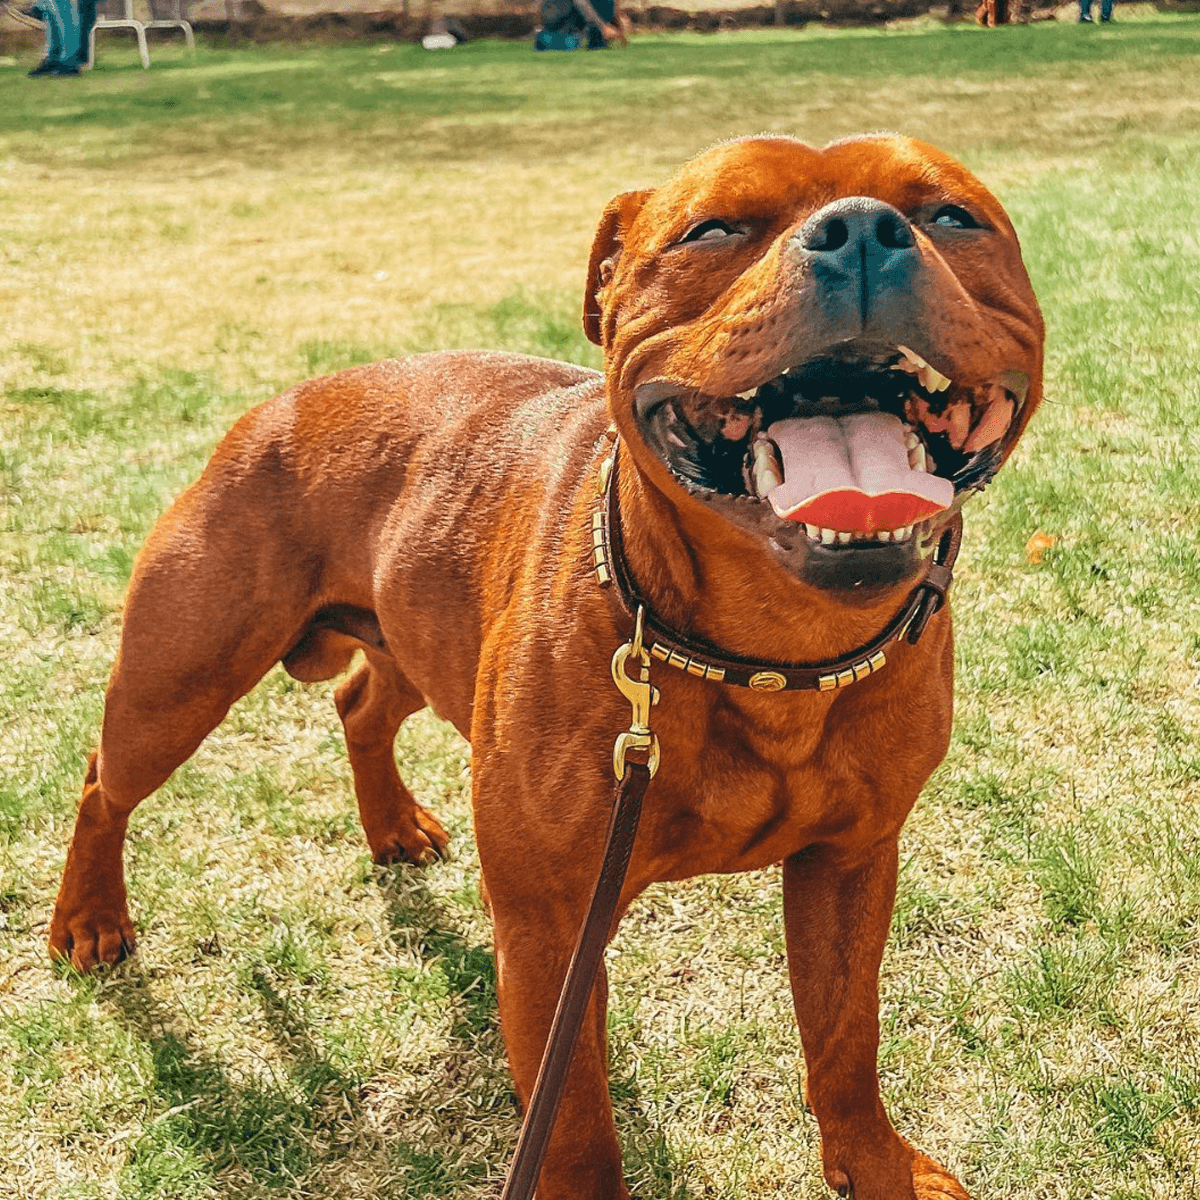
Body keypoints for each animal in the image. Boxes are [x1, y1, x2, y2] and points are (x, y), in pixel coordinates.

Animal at [49, 136, 1041, 1200]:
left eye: (950, 216)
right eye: (714, 228)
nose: (859, 230)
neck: (772, 654)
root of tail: (279, 402)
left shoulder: (850, 864)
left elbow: (845, 1040)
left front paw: (878, 1167)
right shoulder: (549, 930)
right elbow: (572, 1126)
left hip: (412, 637)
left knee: (360, 704)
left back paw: (390, 824)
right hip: (179, 682)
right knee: (105, 780)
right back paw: (90, 918)